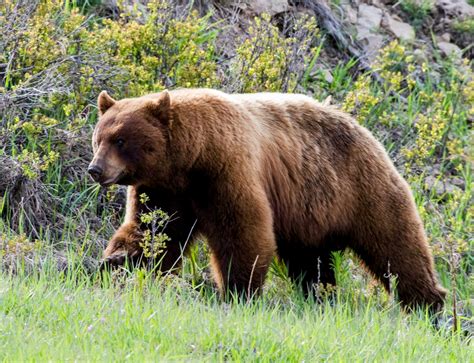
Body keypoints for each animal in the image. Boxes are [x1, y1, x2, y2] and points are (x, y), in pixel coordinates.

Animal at [88, 89, 444, 312]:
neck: (189, 159)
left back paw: (429, 305)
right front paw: (115, 262)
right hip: (308, 213)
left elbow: (243, 231)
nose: (95, 169)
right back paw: (321, 297)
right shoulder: (164, 190)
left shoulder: (226, 171)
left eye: (120, 140)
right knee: (312, 263)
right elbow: (152, 232)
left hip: (361, 189)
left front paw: (238, 292)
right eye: (98, 137)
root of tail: (365, 129)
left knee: (396, 247)